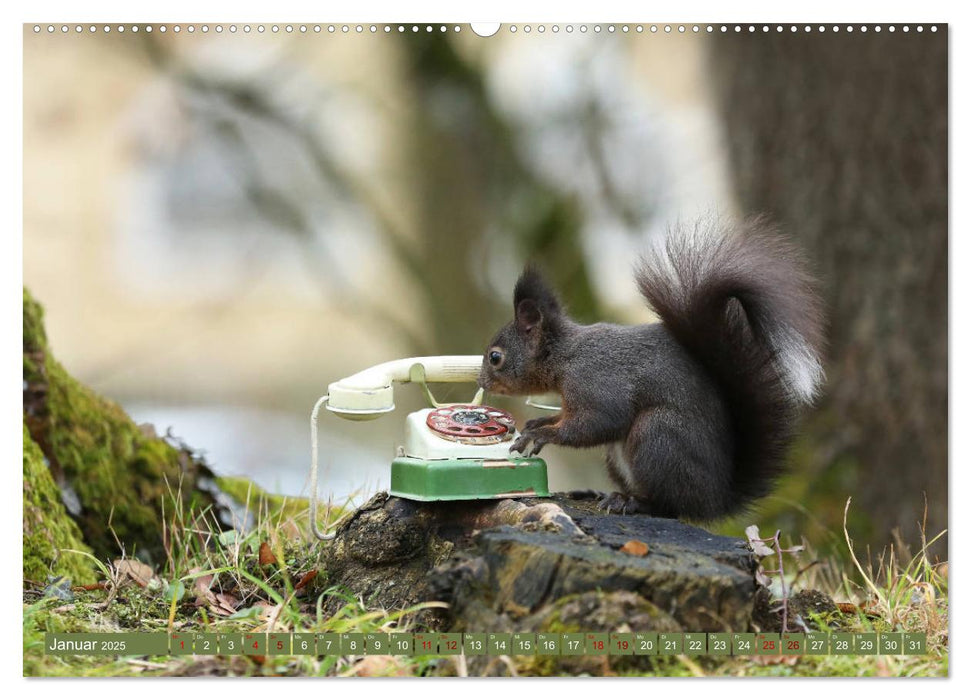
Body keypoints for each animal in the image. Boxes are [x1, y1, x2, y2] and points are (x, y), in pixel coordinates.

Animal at [474, 219, 824, 520]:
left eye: (495, 357)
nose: (481, 381)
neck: (566, 355)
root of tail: (715, 500)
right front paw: (539, 421)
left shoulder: (595, 380)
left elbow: (599, 422)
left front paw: (541, 433)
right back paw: (607, 495)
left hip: (657, 437)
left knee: (670, 507)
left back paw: (633, 503)